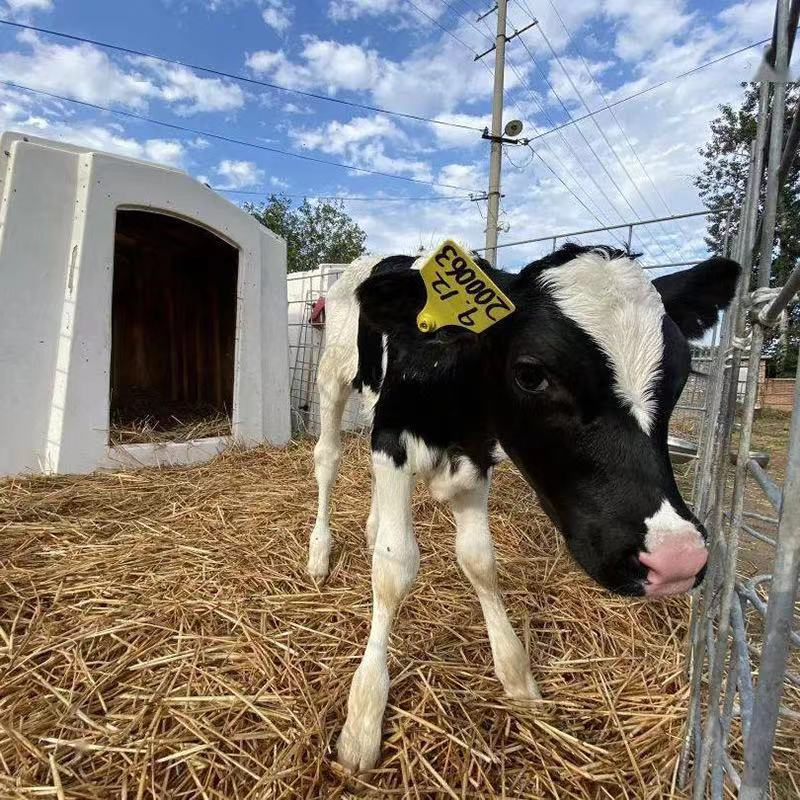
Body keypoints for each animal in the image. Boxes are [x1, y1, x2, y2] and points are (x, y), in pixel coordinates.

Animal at [306, 242, 740, 773]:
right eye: (531, 374)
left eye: (679, 374)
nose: (677, 558)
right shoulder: (392, 438)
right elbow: (395, 568)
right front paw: (365, 713)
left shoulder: (476, 459)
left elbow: (479, 561)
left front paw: (514, 672)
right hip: (332, 378)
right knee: (327, 459)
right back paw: (319, 555)